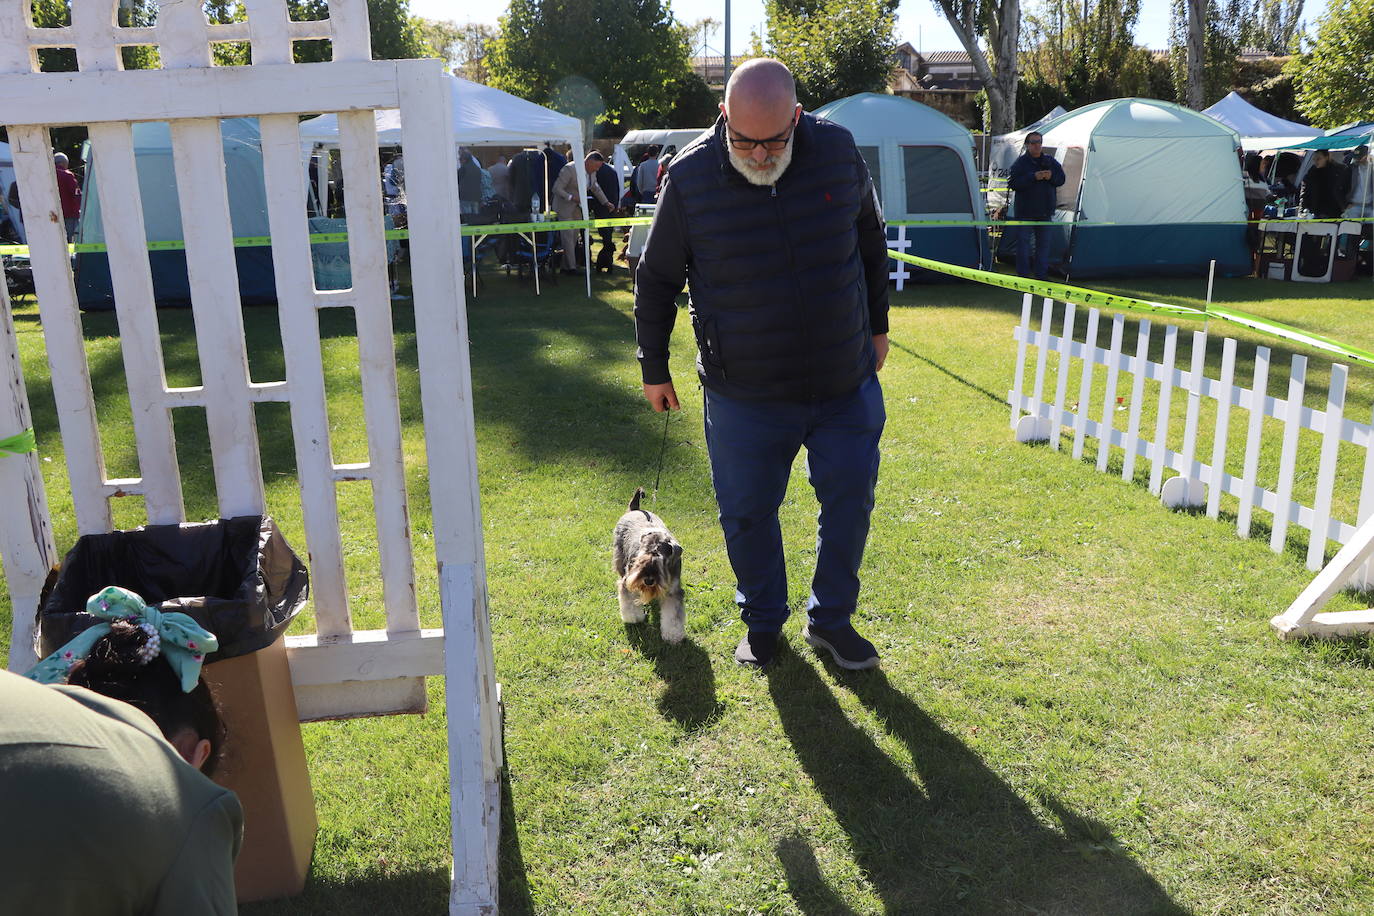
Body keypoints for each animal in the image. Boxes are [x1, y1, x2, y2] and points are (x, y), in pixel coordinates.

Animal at [618, 486, 687, 645]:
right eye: (639, 559)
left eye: (663, 561)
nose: (648, 580)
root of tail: (635, 509)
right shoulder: (628, 581)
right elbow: (629, 601)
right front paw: (634, 618)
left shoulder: (673, 591)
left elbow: (673, 616)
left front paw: (672, 635)